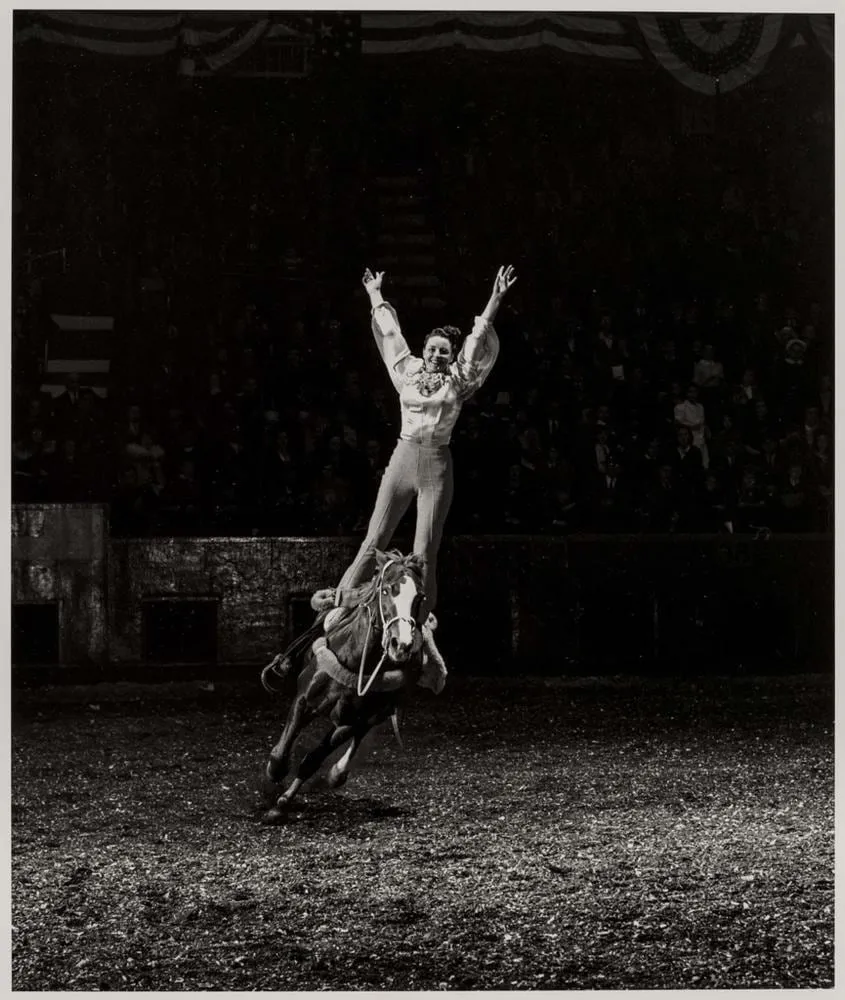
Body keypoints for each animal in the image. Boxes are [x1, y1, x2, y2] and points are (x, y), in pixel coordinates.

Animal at [261, 549, 428, 823]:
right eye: (386, 590)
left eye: (420, 597)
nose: (401, 645)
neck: (356, 657)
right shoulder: (304, 700)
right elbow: (281, 753)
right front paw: (275, 775)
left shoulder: (351, 721)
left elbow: (313, 759)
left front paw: (283, 801)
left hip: (375, 714)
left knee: (358, 737)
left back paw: (338, 772)